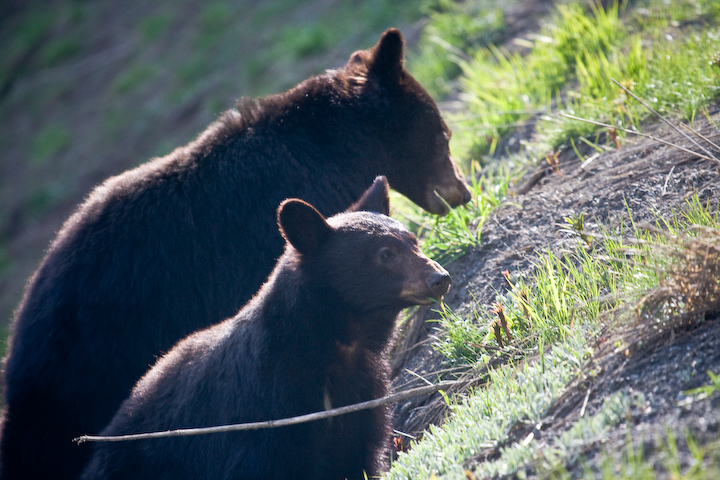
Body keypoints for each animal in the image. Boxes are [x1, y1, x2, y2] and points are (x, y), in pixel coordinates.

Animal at [80, 176, 450, 480]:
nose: (440, 278)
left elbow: (360, 456)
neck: (328, 347)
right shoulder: (259, 411)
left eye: (414, 241)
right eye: (385, 254)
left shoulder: (362, 398)